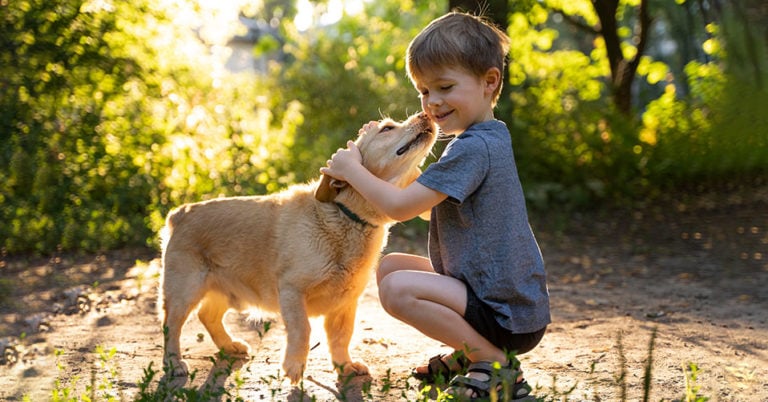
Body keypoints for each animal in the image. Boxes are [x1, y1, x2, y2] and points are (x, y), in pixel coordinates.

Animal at [159, 111, 436, 382]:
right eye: (387, 128)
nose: (426, 114)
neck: (345, 216)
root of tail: (180, 212)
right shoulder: (292, 290)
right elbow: (302, 330)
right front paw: (294, 366)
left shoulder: (346, 302)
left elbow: (341, 337)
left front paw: (344, 366)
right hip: (184, 292)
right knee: (171, 326)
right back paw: (174, 363)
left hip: (227, 291)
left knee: (208, 316)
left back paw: (229, 345)